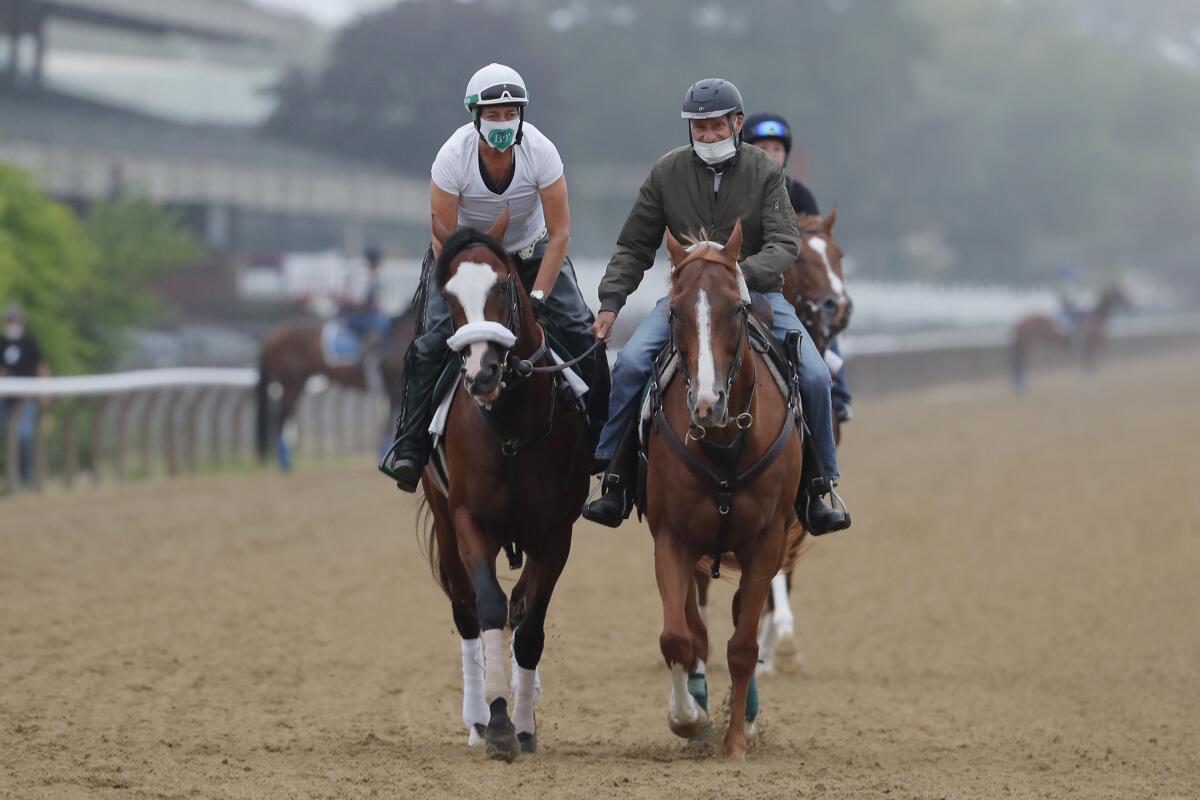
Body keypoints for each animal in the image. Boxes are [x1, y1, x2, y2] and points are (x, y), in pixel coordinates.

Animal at [250, 307, 415, 470]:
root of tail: (271, 336)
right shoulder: (393, 388)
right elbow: (389, 423)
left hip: (297, 382)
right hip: (291, 382)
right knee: (282, 416)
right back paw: (285, 463)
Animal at [415, 209, 592, 762]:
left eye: (504, 285)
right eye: (448, 295)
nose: (482, 372)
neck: (511, 426)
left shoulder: (556, 532)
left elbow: (529, 624)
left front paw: (524, 724)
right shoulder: (470, 519)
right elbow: (489, 605)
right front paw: (496, 723)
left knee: (518, 608)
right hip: (442, 514)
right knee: (466, 608)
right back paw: (477, 717)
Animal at [648, 221, 806, 762]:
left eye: (736, 308)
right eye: (674, 310)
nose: (708, 404)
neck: (723, 443)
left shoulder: (767, 540)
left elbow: (742, 645)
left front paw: (736, 739)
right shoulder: (671, 538)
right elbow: (678, 636)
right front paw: (687, 718)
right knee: (696, 628)